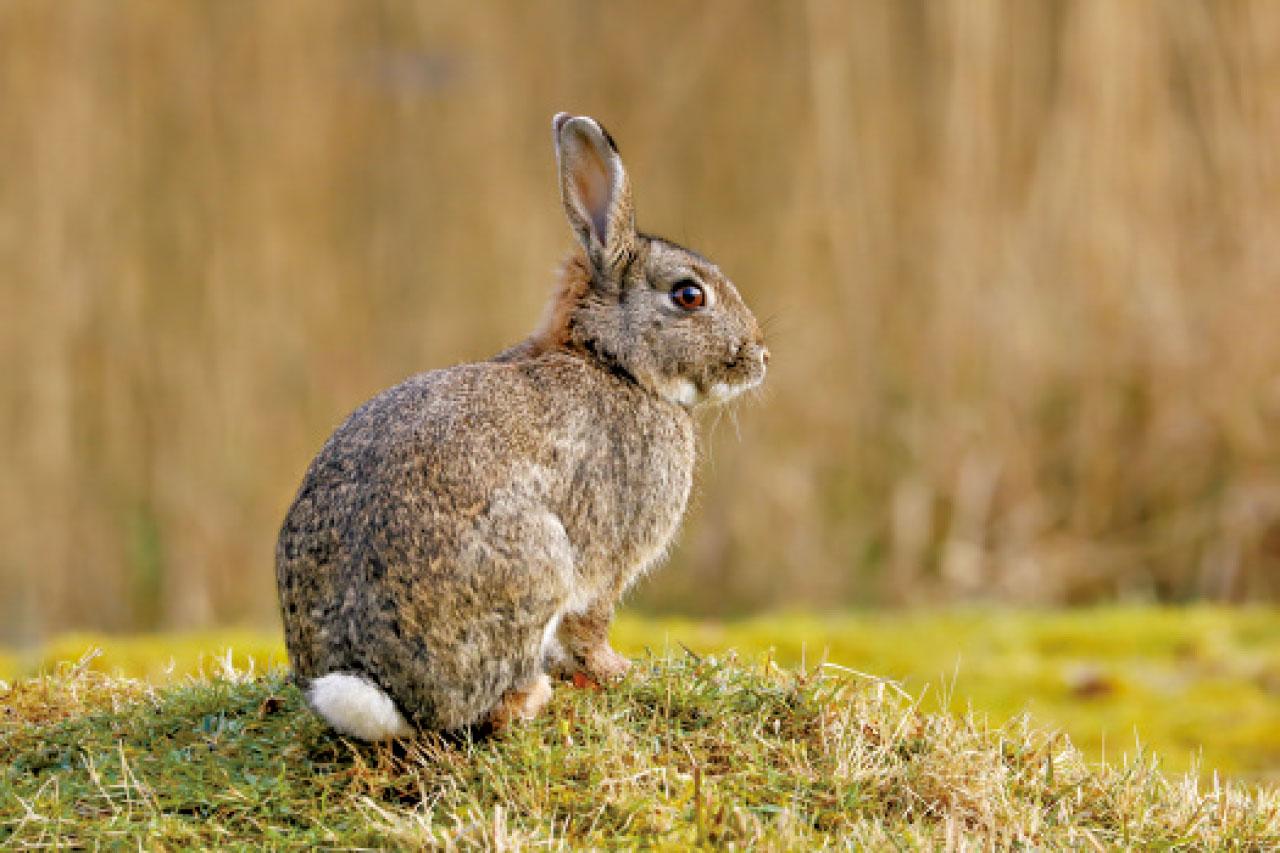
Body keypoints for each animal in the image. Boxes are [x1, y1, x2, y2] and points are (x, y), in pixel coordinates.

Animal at [276, 112, 769, 740]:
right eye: (688, 295)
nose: (760, 357)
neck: (612, 362)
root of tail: (379, 690)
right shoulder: (608, 560)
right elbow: (591, 626)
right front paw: (616, 671)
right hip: (538, 563)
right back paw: (532, 697)